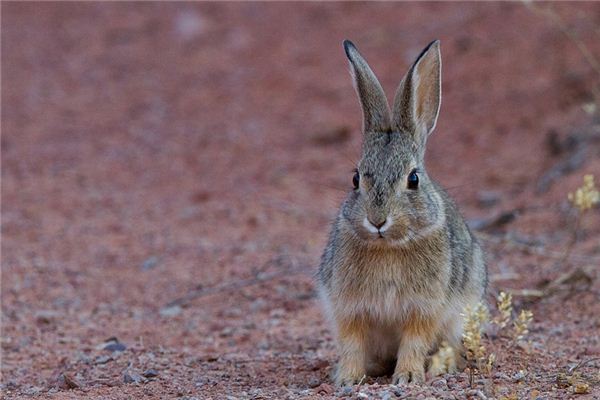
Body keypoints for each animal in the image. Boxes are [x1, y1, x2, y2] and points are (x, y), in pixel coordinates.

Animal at [318, 39, 488, 386]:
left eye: (413, 179)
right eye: (355, 179)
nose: (377, 221)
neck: (388, 247)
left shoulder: (424, 309)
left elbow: (415, 341)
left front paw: (408, 376)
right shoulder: (349, 308)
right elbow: (352, 343)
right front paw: (348, 379)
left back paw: (440, 367)